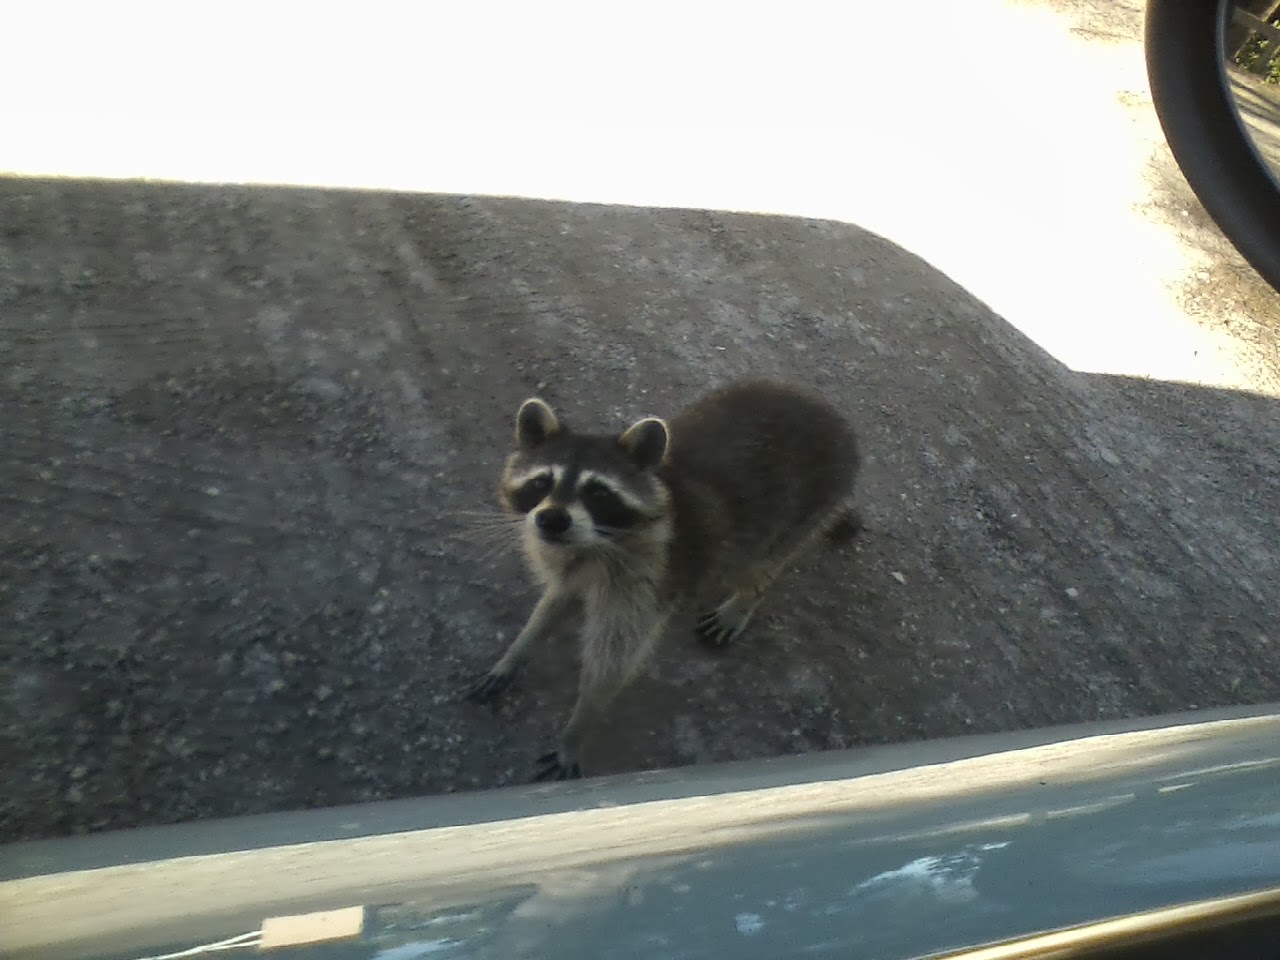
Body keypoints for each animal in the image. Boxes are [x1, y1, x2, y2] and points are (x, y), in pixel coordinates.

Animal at [466, 379, 861, 780]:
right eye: (542, 482)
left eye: (598, 492)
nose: (551, 520)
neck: (593, 542)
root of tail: (831, 417)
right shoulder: (569, 567)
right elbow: (553, 604)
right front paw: (517, 652)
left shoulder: (648, 581)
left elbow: (613, 660)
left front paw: (579, 726)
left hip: (802, 509)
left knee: (757, 564)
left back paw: (745, 599)